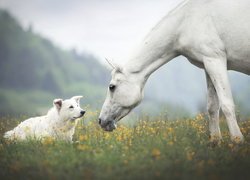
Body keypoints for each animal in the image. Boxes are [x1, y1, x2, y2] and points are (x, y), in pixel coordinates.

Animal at [98, 0, 249, 143]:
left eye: (112, 87)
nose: (101, 121)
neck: (186, 21)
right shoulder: (209, 64)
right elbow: (212, 107)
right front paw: (215, 141)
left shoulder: (215, 60)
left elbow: (227, 105)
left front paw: (237, 141)